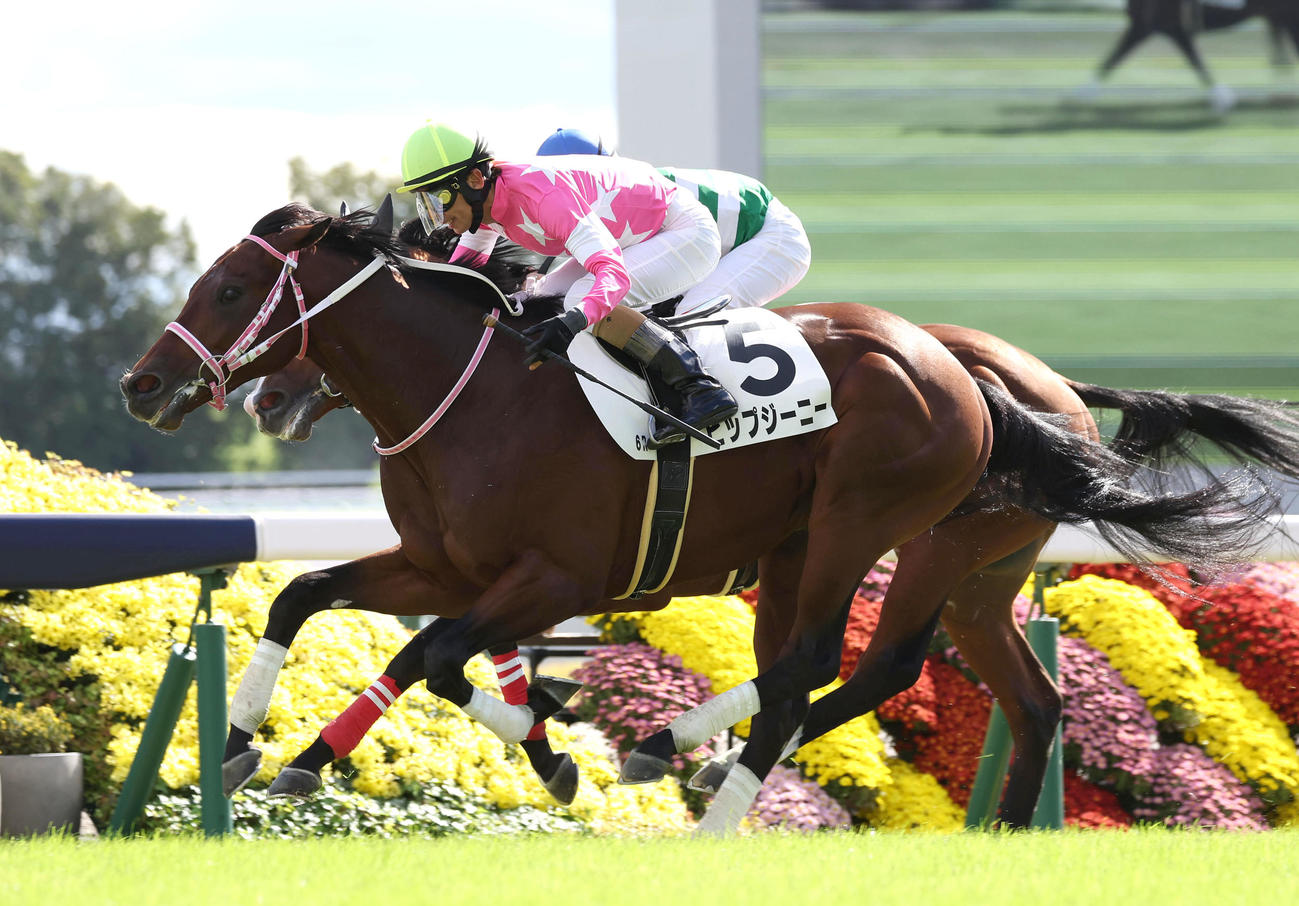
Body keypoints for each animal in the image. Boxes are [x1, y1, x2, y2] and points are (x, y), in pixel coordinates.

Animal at [120, 204, 1281, 831]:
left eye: (230, 290)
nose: (141, 385)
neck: (475, 391)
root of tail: (976, 377)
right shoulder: (446, 564)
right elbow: (311, 598)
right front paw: (243, 742)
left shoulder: (555, 580)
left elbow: (434, 655)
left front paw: (325, 758)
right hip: (965, 570)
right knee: (1014, 696)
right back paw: (983, 835)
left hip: (871, 527)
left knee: (818, 664)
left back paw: (707, 792)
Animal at [1081, 0, 1299, 112]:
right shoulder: (1153, 26)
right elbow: (1113, 58)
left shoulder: (1159, 26)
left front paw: (1222, 99)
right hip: (1280, 17)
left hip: (1288, 18)